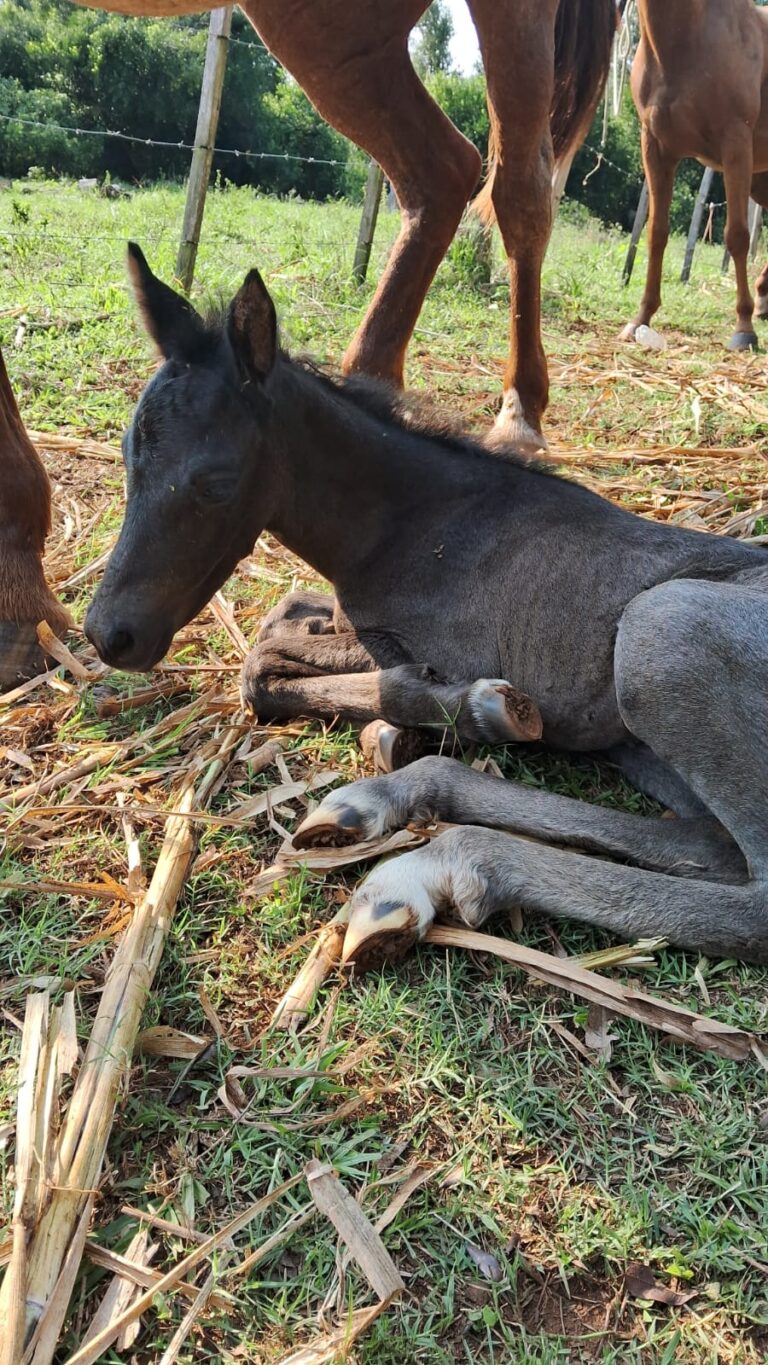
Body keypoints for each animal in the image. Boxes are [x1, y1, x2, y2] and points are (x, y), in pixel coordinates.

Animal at [84, 251, 768, 966]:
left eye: (215, 482)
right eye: (129, 458)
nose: (110, 634)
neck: (412, 523)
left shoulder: (426, 643)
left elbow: (269, 661)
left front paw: (456, 710)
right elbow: (283, 621)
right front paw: (403, 726)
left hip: (661, 631)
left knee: (753, 899)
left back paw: (430, 869)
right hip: (648, 740)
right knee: (706, 844)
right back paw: (383, 800)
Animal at [627, 1, 768, 352]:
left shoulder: (735, 143)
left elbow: (737, 236)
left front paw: (744, 328)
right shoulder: (655, 147)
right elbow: (656, 232)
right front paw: (641, 318)